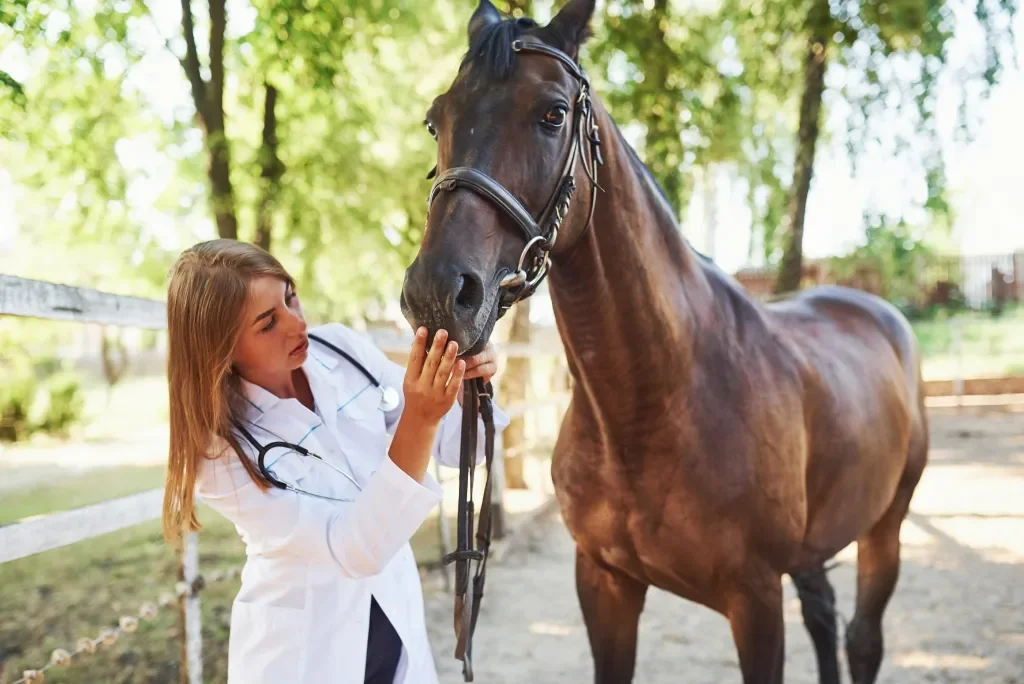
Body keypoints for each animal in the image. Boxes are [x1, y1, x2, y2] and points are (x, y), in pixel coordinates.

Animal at [400, 2, 929, 682]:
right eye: (435, 119)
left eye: (553, 113)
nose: (438, 292)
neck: (654, 404)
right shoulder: (605, 583)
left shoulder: (756, 600)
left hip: (886, 525)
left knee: (863, 639)